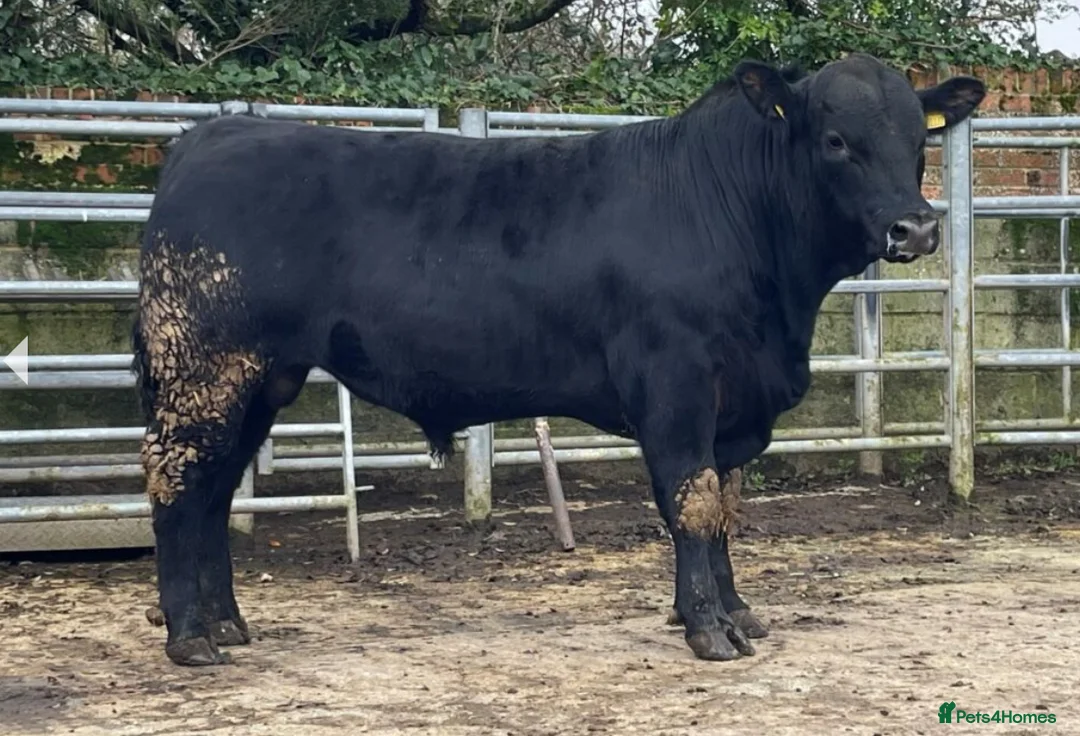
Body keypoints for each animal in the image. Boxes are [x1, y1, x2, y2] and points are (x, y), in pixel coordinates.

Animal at [131, 51, 985, 667]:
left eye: (919, 142)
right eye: (837, 141)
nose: (916, 229)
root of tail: (209, 138)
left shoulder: (730, 405)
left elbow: (722, 507)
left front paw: (738, 610)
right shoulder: (675, 387)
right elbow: (694, 502)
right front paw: (709, 628)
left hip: (259, 378)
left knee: (214, 492)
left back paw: (228, 624)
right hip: (204, 371)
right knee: (177, 483)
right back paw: (190, 637)